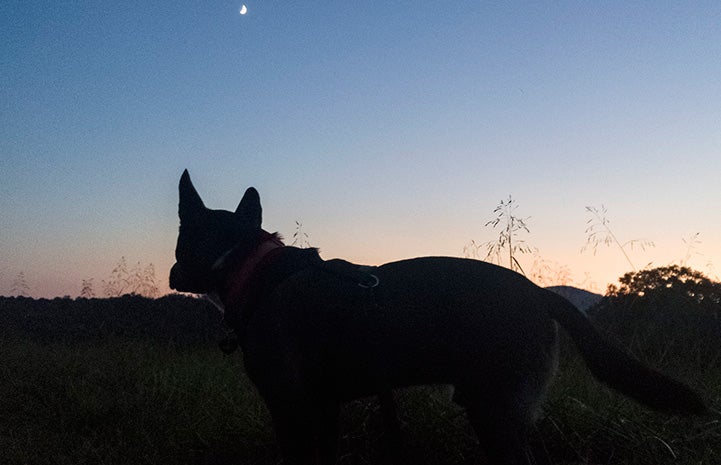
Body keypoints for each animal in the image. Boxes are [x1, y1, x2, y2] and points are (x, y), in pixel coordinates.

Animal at [170, 170, 704, 464]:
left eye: (178, 239)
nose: (173, 273)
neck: (249, 264)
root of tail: (539, 293)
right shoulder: (325, 408)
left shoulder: (290, 406)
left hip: (496, 411)